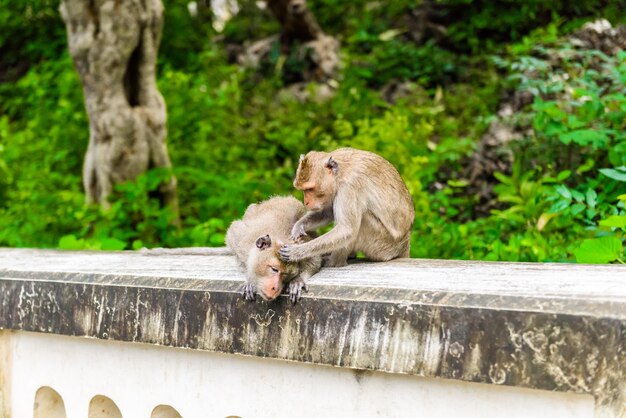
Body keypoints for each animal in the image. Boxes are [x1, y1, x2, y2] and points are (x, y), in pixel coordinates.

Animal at [280, 149, 414, 268]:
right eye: (303, 190)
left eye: (309, 189)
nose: (306, 202)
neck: (340, 173)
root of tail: (406, 240)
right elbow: (328, 212)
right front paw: (298, 227)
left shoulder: (350, 185)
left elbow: (347, 230)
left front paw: (297, 252)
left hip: (384, 247)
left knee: (361, 221)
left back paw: (335, 262)